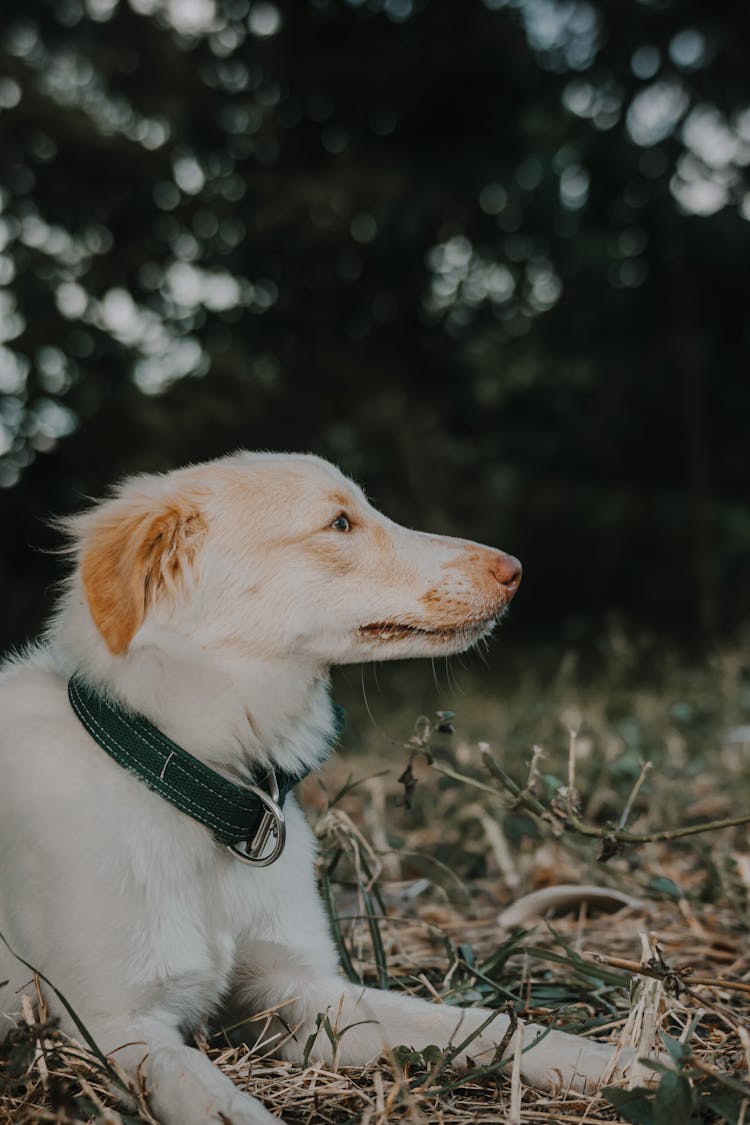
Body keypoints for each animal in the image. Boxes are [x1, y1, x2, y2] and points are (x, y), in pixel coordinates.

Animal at [0, 452, 634, 1120]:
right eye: (339, 524)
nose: (516, 570)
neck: (192, 781)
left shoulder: (302, 992)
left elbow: (478, 1026)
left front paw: (625, 1061)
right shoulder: (115, 1026)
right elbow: (220, 1102)